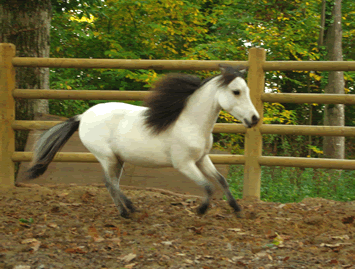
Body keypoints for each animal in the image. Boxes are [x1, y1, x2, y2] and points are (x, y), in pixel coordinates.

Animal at [26, 64, 260, 218]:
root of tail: (82, 117)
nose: (254, 119)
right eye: (236, 91)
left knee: (113, 183)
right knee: (109, 183)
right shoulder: (184, 164)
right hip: (107, 157)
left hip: (117, 159)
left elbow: (221, 180)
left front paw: (237, 209)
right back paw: (127, 210)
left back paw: (127, 209)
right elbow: (208, 186)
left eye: (247, 90)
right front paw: (201, 210)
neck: (189, 123)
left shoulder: (202, 159)